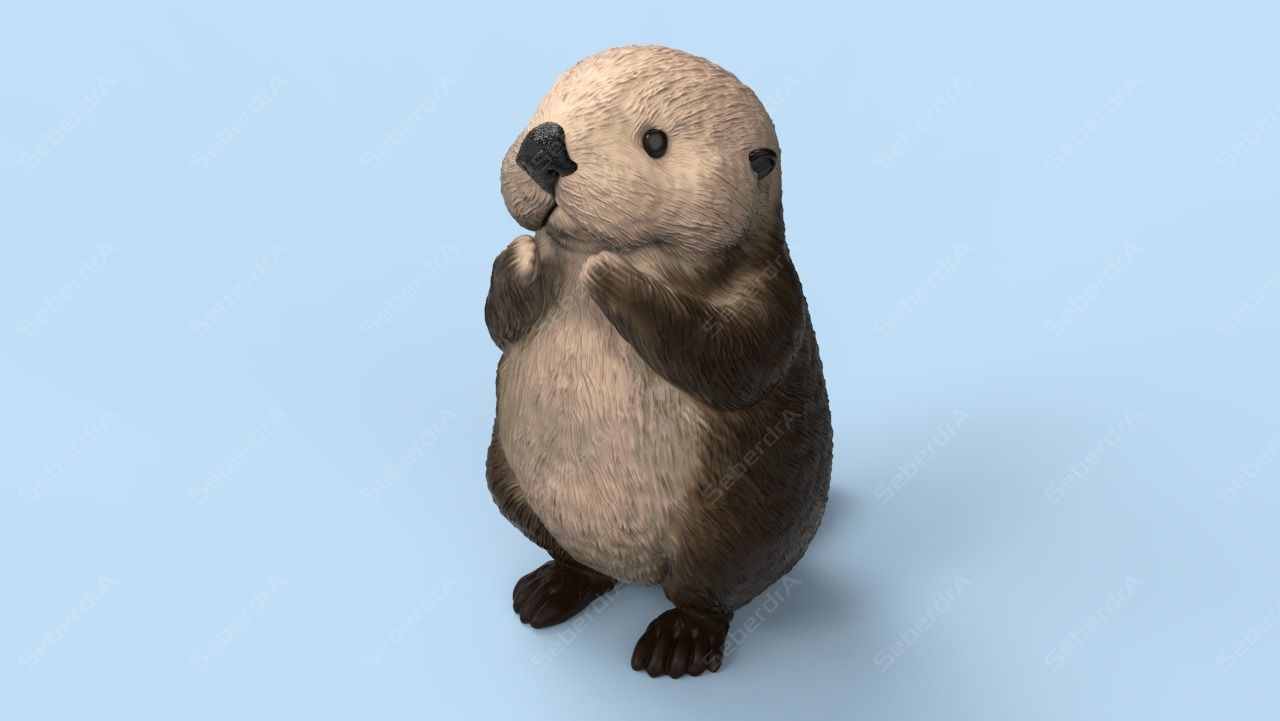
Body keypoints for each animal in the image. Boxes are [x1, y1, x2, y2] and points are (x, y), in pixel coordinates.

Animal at [484, 45, 832, 678]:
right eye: (550, 101)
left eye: (655, 140)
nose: (544, 146)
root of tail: (637, 574)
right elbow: (500, 320)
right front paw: (525, 256)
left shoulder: (771, 288)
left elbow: (735, 356)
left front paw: (611, 272)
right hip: (510, 481)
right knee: (577, 563)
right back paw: (548, 590)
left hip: (731, 520)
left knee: (710, 593)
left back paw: (678, 644)